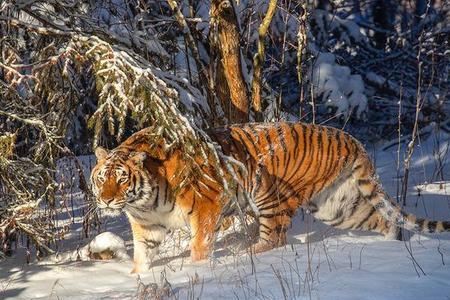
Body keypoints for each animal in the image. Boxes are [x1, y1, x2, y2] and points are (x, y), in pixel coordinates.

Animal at [90, 120, 450, 274]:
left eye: (121, 179)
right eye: (102, 179)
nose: (106, 200)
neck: (143, 199)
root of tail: (349, 138)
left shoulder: (206, 208)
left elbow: (200, 246)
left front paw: (198, 271)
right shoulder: (147, 225)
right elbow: (142, 255)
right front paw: (137, 279)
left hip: (271, 195)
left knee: (274, 238)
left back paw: (245, 255)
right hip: (336, 205)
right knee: (379, 219)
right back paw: (394, 244)